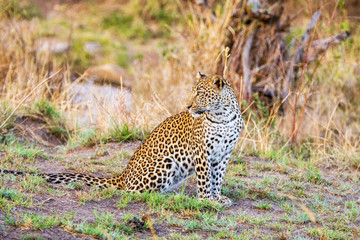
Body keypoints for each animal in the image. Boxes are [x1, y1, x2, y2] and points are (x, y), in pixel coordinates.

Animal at [1, 72, 243, 205]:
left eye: (200, 93)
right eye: (193, 92)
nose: (188, 106)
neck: (223, 116)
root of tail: (123, 175)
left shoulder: (223, 155)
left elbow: (217, 179)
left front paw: (217, 198)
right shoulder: (202, 153)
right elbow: (204, 181)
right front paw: (207, 201)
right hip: (165, 163)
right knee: (135, 192)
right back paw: (168, 197)